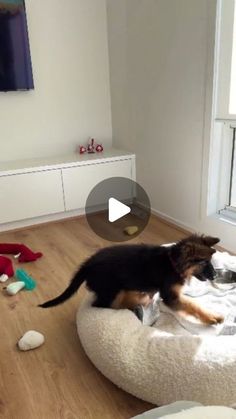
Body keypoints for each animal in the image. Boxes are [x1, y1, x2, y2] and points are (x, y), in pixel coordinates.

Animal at [39, 235, 223, 326]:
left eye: (210, 261)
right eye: (204, 263)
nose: (215, 276)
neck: (173, 262)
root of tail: (88, 264)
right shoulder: (171, 296)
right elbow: (192, 304)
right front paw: (211, 317)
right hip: (111, 290)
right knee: (103, 306)